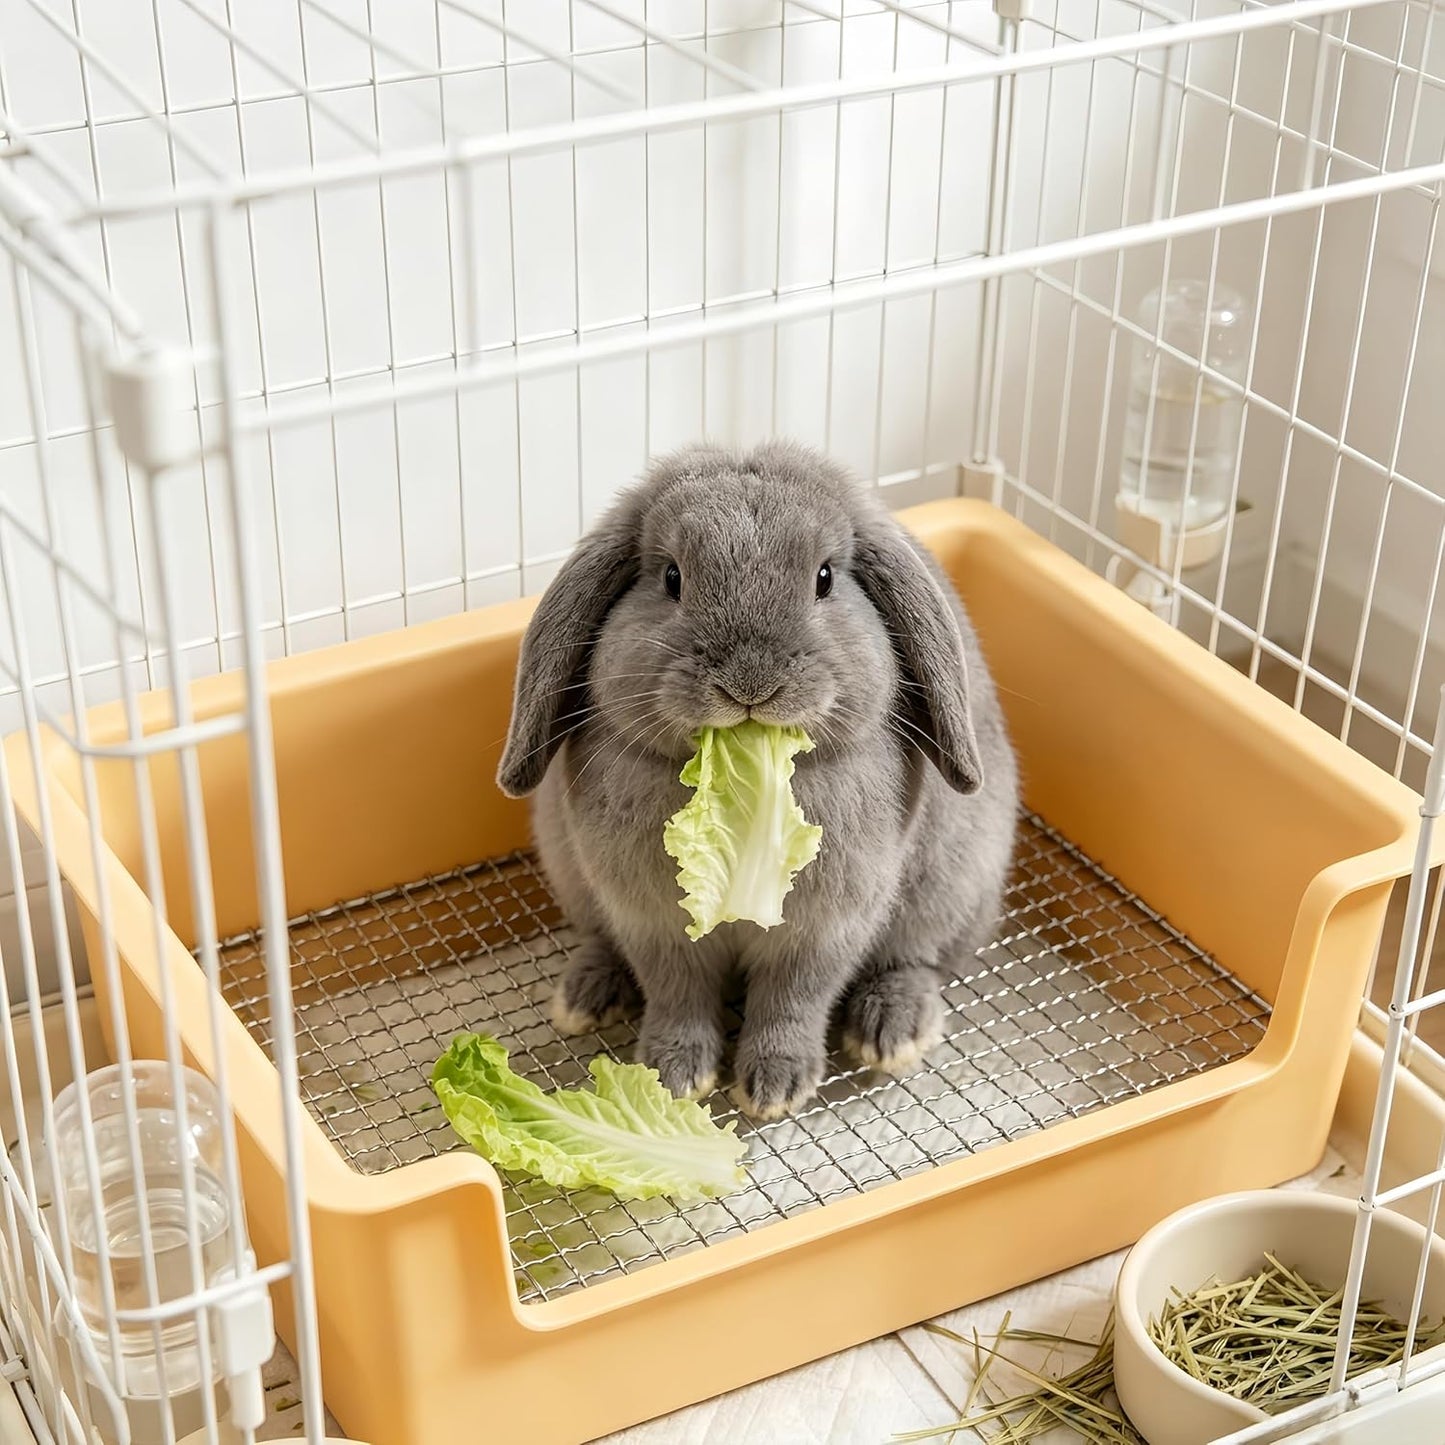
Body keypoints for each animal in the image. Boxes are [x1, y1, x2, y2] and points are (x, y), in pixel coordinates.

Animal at [497, 440, 1019, 1121]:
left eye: (825, 578)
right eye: (672, 578)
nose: (750, 683)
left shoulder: (826, 930)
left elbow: (792, 1001)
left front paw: (776, 1089)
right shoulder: (651, 923)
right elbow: (679, 996)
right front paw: (673, 1076)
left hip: (952, 890)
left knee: (919, 963)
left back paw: (893, 1032)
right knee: (601, 943)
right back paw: (586, 997)